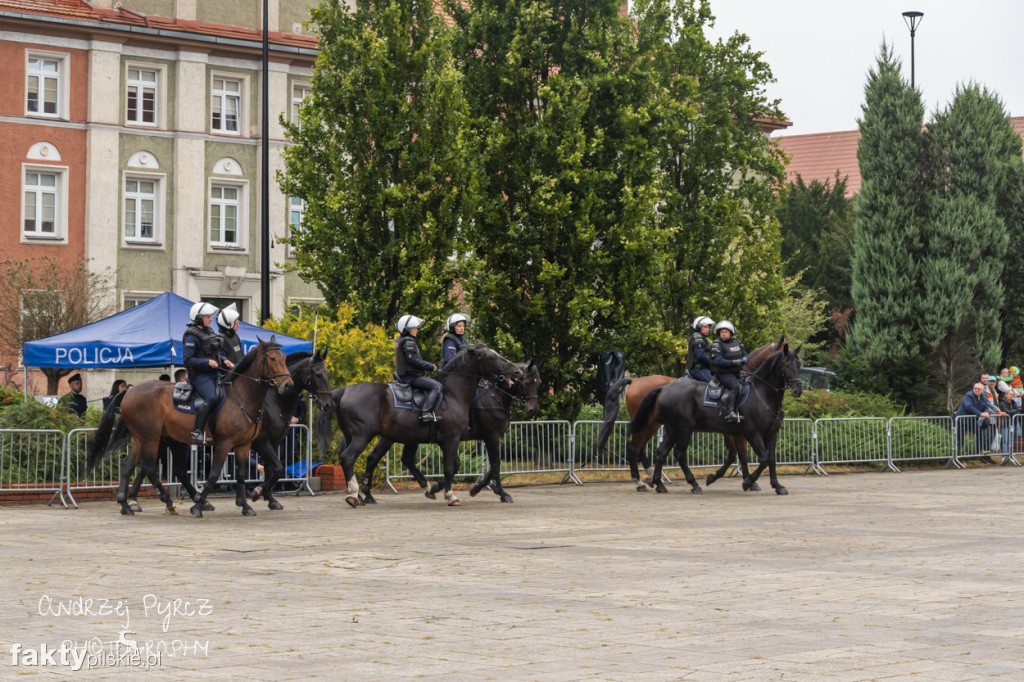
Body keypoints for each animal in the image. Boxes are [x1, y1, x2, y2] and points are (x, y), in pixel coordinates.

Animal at [85, 337, 294, 518]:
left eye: (284, 358)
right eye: (272, 358)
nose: (288, 385)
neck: (241, 397)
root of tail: (130, 391)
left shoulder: (244, 445)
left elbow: (242, 475)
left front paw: (245, 506)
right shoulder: (226, 444)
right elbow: (214, 475)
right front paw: (198, 506)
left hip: (144, 438)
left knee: (129, 466)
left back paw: (126, 505)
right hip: (152, 438)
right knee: (150, 468)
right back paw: (168, 501)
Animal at [122, 350, 331, 509]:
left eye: (327, 373)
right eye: (318, 374)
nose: (328, 404)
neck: (270, 400)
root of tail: (131, 392)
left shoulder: (272, 442)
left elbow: (272, 470)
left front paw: (268, 498)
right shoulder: (262, 443)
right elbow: (277, 469)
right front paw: (257, 493)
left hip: (164, 439)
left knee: (146, 467)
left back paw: (133, 500)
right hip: (156, 439)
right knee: (150, 467)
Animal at [317, 346, 520, 503]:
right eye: (492, 357)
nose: (516, 372)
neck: (452, 394)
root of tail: (344, 390)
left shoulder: (445, 441)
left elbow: (454, 465)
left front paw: (437, 488)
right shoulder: (457, 438)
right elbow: (455, 467)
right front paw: (452, 495)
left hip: (375, 436)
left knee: (381, 459)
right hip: (364, 436)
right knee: (349, 458)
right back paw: (354, 494)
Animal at [593, 335, 782, 491]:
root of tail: (635, 380)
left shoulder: (731, 431)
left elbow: (735, 455)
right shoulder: (738, 431)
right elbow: (740, 454)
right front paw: (749, 482)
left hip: (654, 424)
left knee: (641, 449)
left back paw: (651, 478)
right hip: (651, 424)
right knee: (634, 448)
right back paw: (641, 481)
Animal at [626, 346, 802, 493]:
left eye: (799, 365)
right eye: (786, 365)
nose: (797, 390)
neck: (761, 393)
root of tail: (664, 388)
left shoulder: (770, 434)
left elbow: (769, 459)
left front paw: (777, 486)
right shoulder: (751, 433)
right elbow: (759, 458)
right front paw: (748, 482)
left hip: (671, 429)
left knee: (661, 451)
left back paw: (658, 483)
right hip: (681, 428)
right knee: (671, 452)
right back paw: (685, 483)